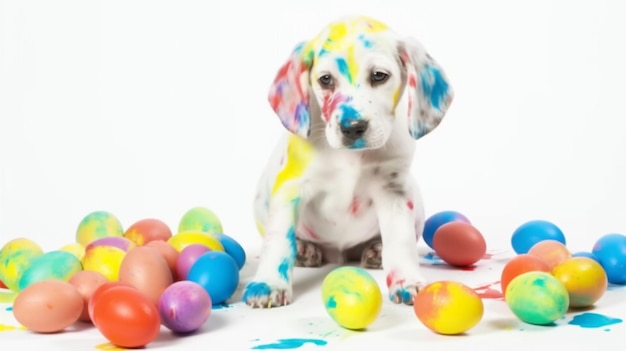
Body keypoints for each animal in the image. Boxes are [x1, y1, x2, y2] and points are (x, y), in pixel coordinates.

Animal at [244, 15, 454, 308]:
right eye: (325, 80)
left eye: (379, 75)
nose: (352, 127)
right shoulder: (290, 188)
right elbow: (278, 242)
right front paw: (269, 284)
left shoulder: (394, 192)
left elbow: (400, 241)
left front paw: (407, 281)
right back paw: (305, 250)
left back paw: (376, 250)